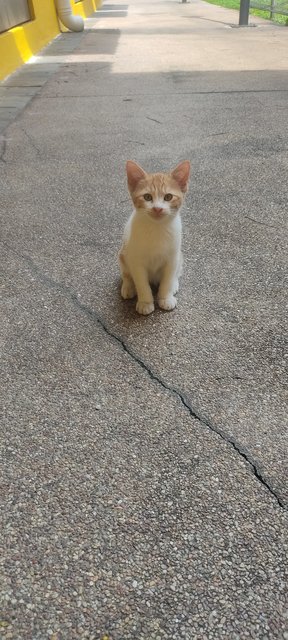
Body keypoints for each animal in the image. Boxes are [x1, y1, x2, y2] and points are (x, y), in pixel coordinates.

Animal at [118, 161, 190, 316]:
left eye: (168, 197)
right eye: (147, 197)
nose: (157, 208)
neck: (157, 228)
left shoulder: (172, 258)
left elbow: (167, 279)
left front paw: (165, 298)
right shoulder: (136, 261)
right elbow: (141, 283)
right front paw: (145, 303)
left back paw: (174, 284)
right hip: (123, 253)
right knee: (126, 273)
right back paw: (128, 287)